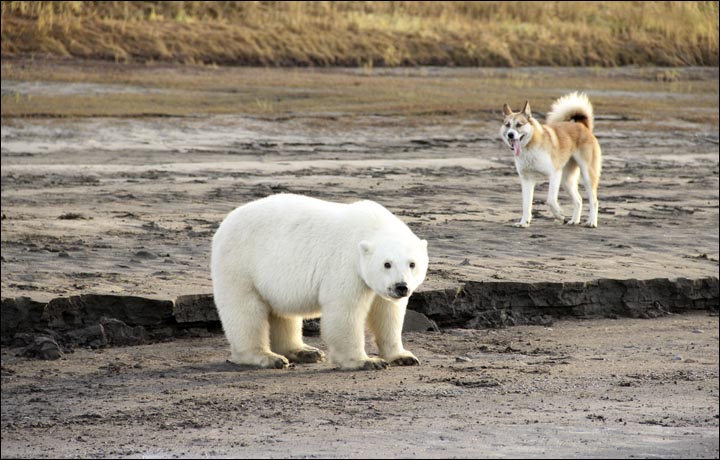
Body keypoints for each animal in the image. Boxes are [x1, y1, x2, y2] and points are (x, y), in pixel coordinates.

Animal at [211, 193, 430, 370]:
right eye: (387, 264)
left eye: (412, 264)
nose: (401, 287)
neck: (371, 227)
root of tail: (226, 222)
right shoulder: (346, 266)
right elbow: (345, 312)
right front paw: (366, 361)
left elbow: (388, 313)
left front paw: (403, 357)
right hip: (240, 264)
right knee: (245, 311)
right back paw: (267, 357)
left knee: (282, 313)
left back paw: (305, 351)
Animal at [500, 93, 600, 228]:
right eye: (507, 125)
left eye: (519, 124)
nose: (510, 134)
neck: (530, 146)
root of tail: (582, 126)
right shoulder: (527, 179)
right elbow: (526, 204)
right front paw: (524, 222)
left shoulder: (554, 174)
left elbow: (550, 200)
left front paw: (559, 214)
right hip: (566, 181)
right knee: (578, 200)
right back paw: (574, 220)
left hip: (587, 176)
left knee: (594, 201)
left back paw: (592, 222)